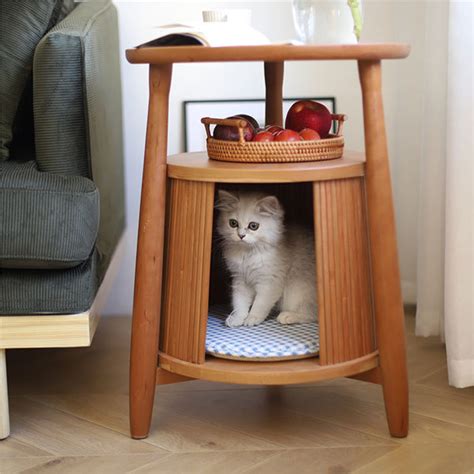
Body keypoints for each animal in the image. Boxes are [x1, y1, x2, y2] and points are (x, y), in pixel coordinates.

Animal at [217, 191, 316, 328]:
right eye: (233, 223)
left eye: (253, 226)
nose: (241, 235)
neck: (248, 254)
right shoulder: (240, 279)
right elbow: (239, 302)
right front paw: (237, 318)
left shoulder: (270, 281)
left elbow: (260, 304)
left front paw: (252, 318)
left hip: (298, 291)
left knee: (312, 314)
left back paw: (288, 316)